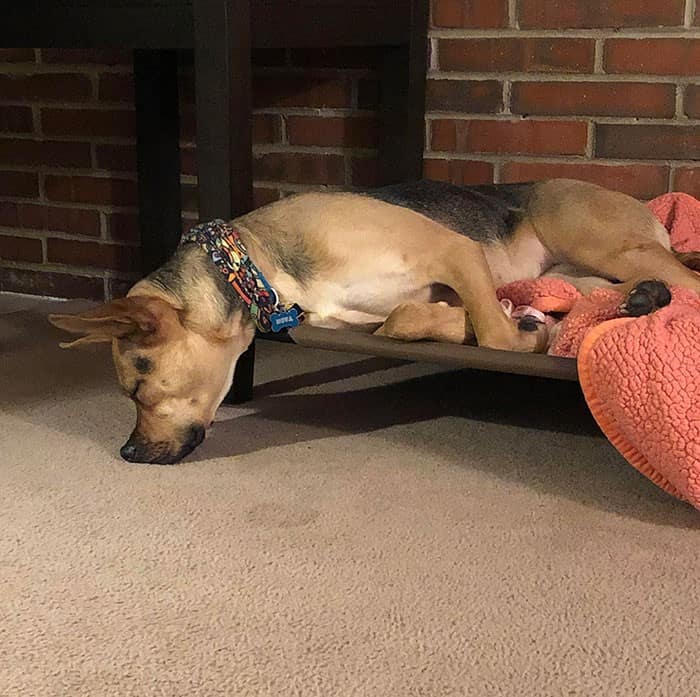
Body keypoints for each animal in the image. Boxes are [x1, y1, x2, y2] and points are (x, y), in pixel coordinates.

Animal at [49, 178, 700, 462]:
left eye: (136, 387)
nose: (128, 453)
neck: (260, 262)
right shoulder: (361, 318)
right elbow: (408, 321)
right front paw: (498, 320)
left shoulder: (456, 250)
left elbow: (492, 334)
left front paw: (527, 333)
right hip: (585, 269)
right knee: (602, 293)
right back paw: (638, 301)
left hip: (599, 241)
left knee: (687, 284)